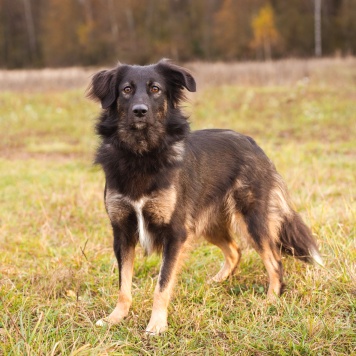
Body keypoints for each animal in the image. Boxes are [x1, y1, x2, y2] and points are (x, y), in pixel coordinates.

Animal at [87, 59, 324, 336]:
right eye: (126, 89)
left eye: (155, 89)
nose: (140, 111)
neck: (141, 153)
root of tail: (252, 143)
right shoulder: (122, 231)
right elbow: (124, 284)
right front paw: (115, 318)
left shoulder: (175, 232)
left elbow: (162, 284)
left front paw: (156, 325)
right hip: (206, 223)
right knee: (235, 251)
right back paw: (216, 282)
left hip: (251, 218)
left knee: (274, 260)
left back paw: (270, 300)